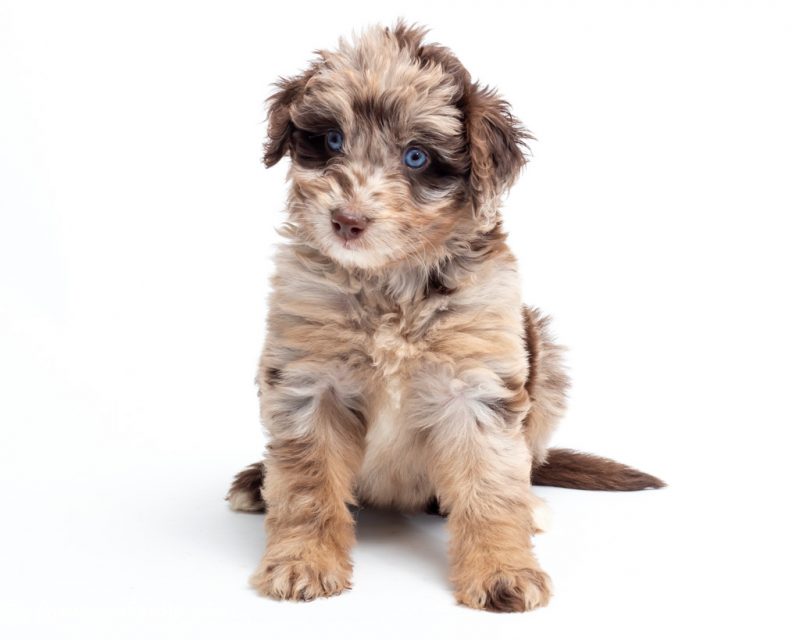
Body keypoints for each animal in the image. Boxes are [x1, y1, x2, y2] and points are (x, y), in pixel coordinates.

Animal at [227, 23, 664, 616]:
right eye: (332, 140)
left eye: (416, 156)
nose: (346, 221)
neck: (390, 282)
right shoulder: (308, 382)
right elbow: (306, 485)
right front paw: (303, 560)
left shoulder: (477, 388)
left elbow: (490, 484)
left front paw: (502, 569)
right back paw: (256, 481)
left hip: (545, 358)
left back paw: (531, 507)